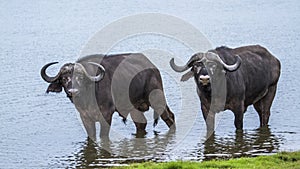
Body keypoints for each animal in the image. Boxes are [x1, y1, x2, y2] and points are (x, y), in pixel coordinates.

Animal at [41, 53, 175, 139]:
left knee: (168, 117)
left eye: (80, 77)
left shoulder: (106, 115)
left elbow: (103, 136)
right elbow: (92, 136)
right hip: (135, 107)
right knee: (142, 123)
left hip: (157, 98)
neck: (87, 99)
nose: (72, 91)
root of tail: (152, 67)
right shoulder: (85, 118)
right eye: (64, 79)